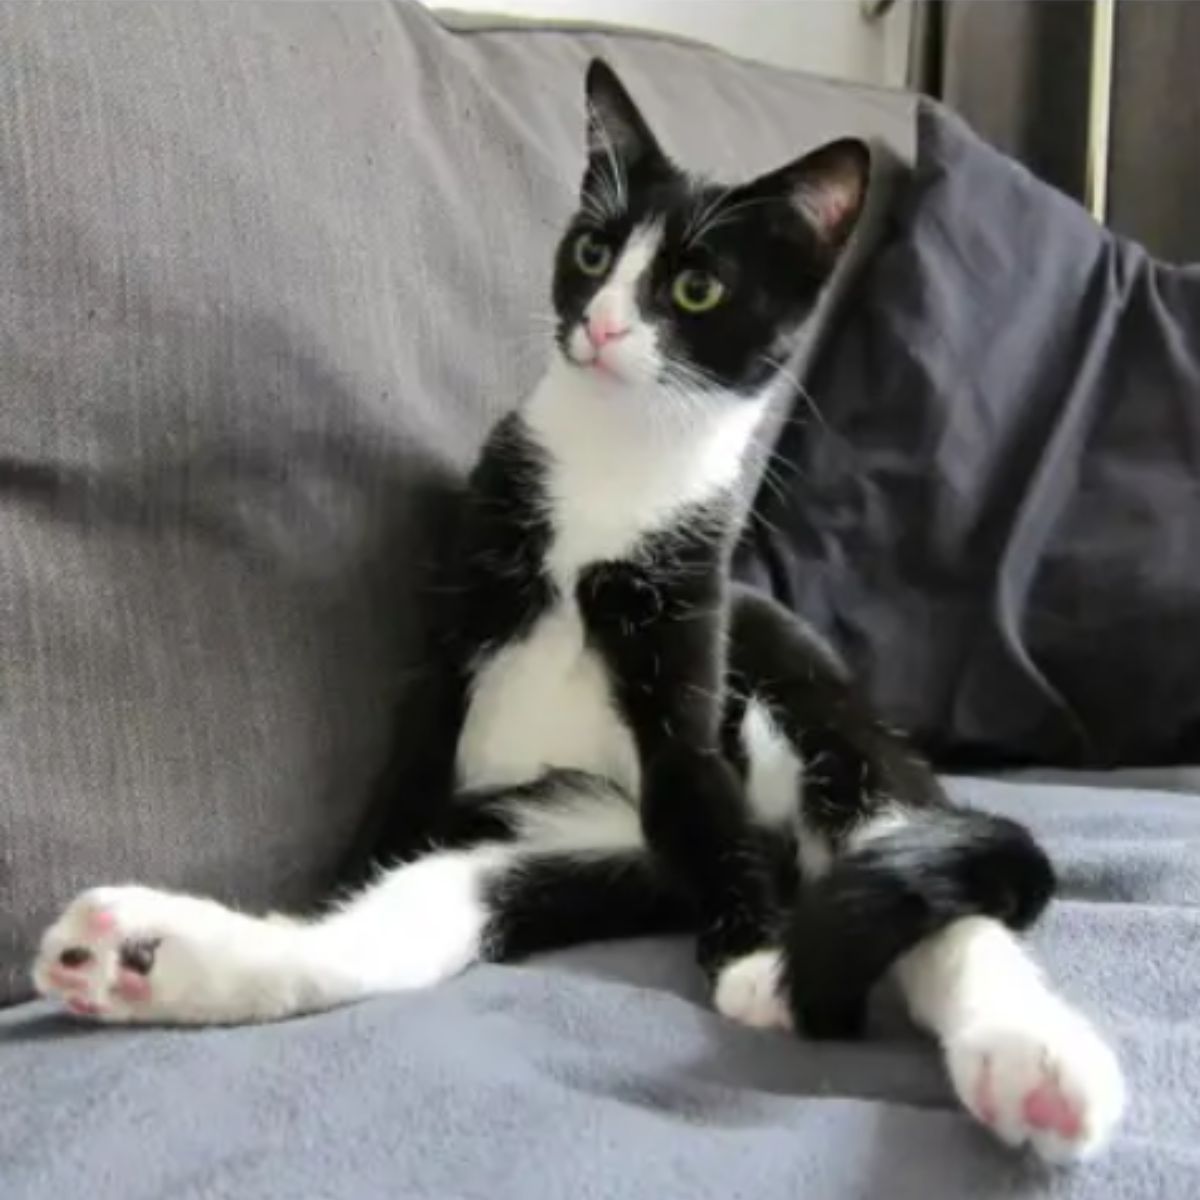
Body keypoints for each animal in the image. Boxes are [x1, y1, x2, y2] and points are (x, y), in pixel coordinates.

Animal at [37, 63, 1123, 1161]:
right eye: (595, 251)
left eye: (696, 288)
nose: (601, 326)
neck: (614, 462)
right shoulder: (457, 629)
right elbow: (404, 784)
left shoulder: (686, 635)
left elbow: (701, 785)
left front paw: (754, 954)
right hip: (559, 835)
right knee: (413, 918)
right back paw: (144, 958)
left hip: (812, 712)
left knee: (922, 883)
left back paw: (1037, 1067)